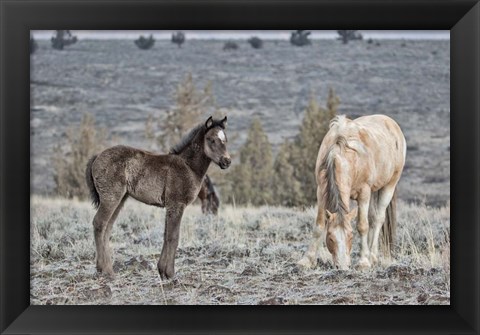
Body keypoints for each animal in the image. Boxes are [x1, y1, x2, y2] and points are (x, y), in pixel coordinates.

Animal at [85, 117, 231, 280]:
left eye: (225, 140)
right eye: (211, 140)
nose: (227, 161)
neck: (188, 167)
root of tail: (97, 156)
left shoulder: (170, 206)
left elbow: (166, 235)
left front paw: (162, 271)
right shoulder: (177, 205)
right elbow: (173, 237)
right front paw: (170, 274)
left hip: (120, 199)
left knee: (107, 228)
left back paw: (107, 268)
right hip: (111, 198)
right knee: (99, 224)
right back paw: (105, 271)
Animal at [298, 115, 406, 270]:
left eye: (350, 236)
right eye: (330, 237)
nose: (342, 266)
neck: (340, 154)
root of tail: (391, 122)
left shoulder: (364, 192)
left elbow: (362, 226)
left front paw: (363, 262)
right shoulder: (321, 191)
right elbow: (319, 226)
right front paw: (307, 260)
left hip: (389, 186)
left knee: (378, 219)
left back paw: (372, 256)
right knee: (373, 218)